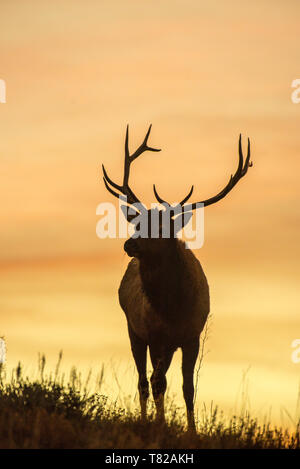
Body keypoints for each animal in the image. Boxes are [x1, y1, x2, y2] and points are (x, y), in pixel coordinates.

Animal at [102, 123, 252, 428]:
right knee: (145, 381)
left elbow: (188, 387)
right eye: (138, 223)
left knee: (156, 379)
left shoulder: (191, 335)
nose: (129, 244)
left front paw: (192, 431)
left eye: (162, 228)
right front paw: (159, 425)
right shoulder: (155, 335)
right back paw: (147, 419)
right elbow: (157, 382)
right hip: (134, 331)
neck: (173, 308)